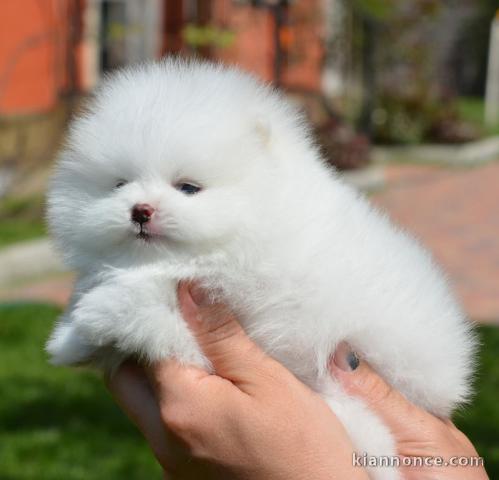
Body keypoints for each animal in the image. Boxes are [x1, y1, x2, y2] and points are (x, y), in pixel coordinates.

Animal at [47, 58, 476, 478]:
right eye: (119, 185)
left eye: (188, 188)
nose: (140, 211)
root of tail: (447, 386)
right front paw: (72, 340)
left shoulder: (222, 312)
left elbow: (146, 309)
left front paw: (92, 318)